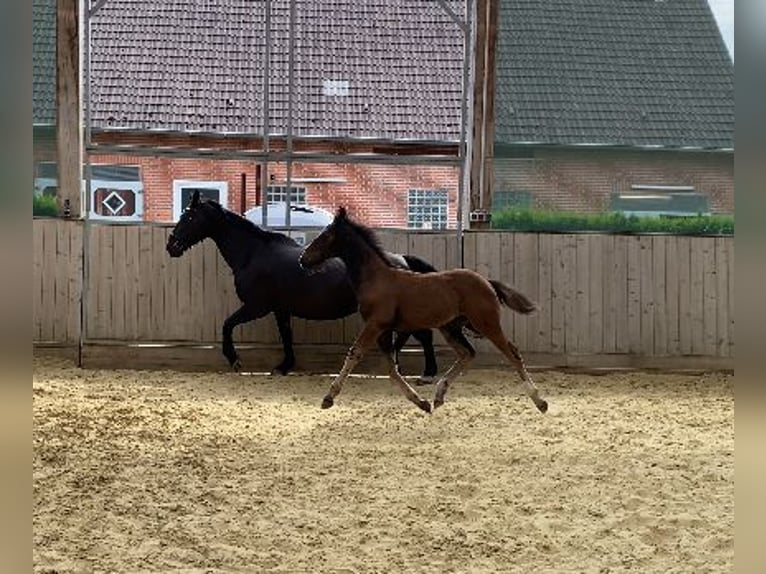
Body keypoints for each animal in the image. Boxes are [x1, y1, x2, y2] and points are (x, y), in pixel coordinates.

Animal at [166, 191, 444, 382]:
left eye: (189, 216)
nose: (172, 246)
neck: (253, 254)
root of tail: (402, 260)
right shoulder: (280, 309)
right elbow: (286, 336)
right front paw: (284, 366)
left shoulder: (256, 307)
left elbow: (227, 325)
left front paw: (234, 360)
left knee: (423, 335)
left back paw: (427, 373)